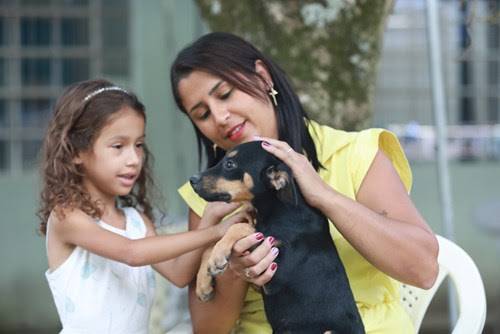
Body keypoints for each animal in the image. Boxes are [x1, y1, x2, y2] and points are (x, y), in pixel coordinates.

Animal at [189, 142, 366, 334]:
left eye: (230, 164)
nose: (192, 180)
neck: (276, 209)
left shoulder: (276, 271)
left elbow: (240, 228)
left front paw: (218, 257)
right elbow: (213, 242)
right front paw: (204, 283)